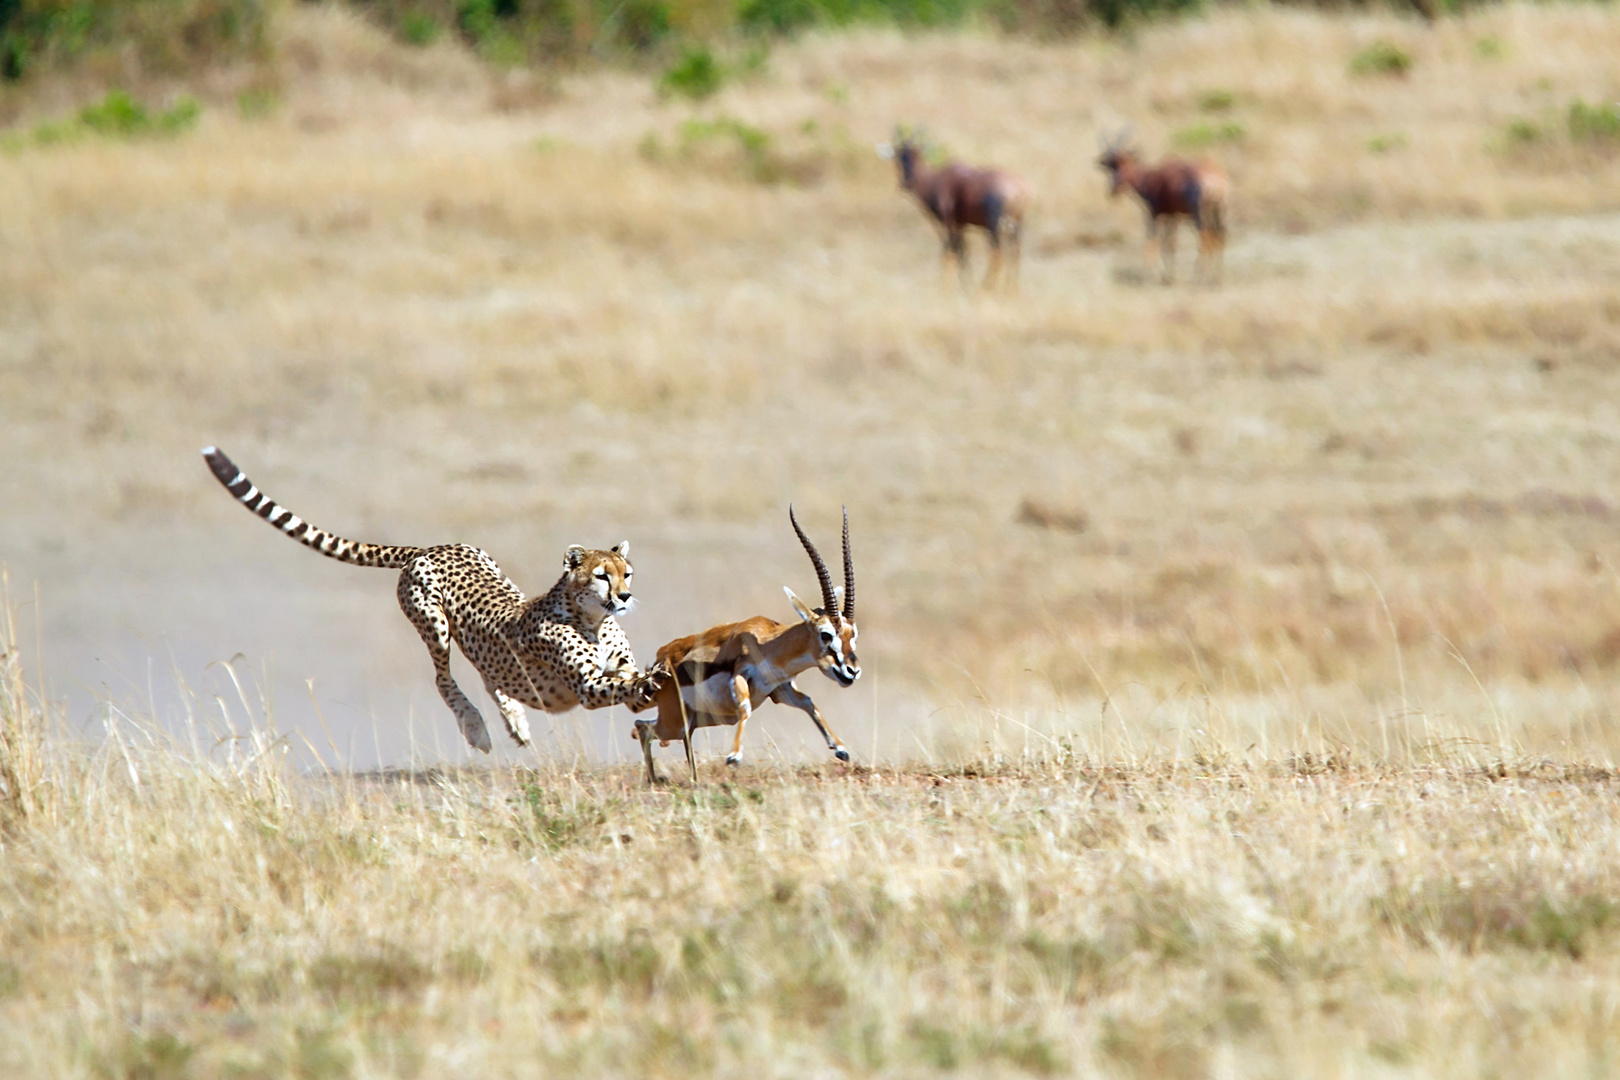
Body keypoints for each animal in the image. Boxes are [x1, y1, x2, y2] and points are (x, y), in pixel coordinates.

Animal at [200, 446, 664, 751]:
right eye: (602, 577)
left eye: (627, 573)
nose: (625, 596)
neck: (592, 618)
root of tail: (429, 547)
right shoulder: (586, 685)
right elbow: (620, 684)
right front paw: (650, 684)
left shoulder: (616, 663)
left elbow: (629, 675)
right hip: (434, 626)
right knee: (444, 679)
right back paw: (475, 727)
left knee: (490, 677)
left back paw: (514, 720)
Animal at [628, 508, 861, 786]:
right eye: (825, 634)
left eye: (853, 634)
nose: (852, 671)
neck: (768, 643)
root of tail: (659, 663)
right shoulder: (741, 676)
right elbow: (745, 707)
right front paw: (733, 757)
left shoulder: (780, 689)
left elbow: (808, 702)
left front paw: (841, 749)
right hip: (673, 723)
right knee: (642, 727)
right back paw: (655, 780)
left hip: (692, 721)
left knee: (658, 730)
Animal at [881, 127, 1030, 293]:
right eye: (898, 156)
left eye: (917, 155)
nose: (905, 183)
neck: (939, 178)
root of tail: (1019, 190)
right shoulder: (961, 225)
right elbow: (963, 253)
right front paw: (965, 285)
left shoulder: (948, 223)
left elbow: (949, 252)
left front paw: (948, 288)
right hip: (1016, 226)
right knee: (1015, 253)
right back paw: (1011, 290)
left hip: (994, 227)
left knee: (998, 254)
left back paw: (985, 288)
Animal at [1101, 127, 1224, 283]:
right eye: (1112, 165)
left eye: (1119, 163)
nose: (1112, 191)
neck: (1152, 176)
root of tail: (1215, 180)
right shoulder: (1172, 216)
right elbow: (1169, 243)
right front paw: (1168, 276)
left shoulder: (1154, 214)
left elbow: (1152, 241)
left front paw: (1148, 276)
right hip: (1218, 212)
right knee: (1219, 236)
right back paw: (1216, 277)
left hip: (1198, 215)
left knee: (1206, 238)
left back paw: (1198, 278)